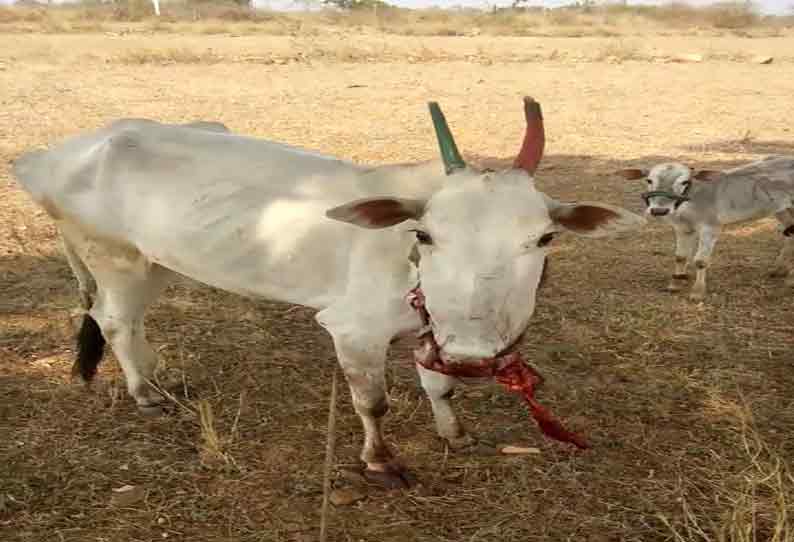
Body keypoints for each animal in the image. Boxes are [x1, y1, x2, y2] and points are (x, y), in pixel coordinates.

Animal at [12, 98, 644, 488]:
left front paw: (455, 434)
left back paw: (160, 376)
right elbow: (374, 403)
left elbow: (440, 387)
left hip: (154, 260)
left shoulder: (430, 333)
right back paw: (145, 393)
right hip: (112, 254)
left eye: (544, 237)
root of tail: (49, 155)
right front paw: (381, 462)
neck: (408, 265)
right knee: (113, 319)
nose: (474, 353)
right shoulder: (354, 332)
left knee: (128, 318)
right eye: (424, 235)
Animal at [620, 157, 792, 302]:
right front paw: (674, 284)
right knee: (790, 232)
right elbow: (680, 257)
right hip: (781, 210)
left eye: (684, 182)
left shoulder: (710, 227)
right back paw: (777, 269)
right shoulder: (681, 228)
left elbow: (701, 261)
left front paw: (697, 292)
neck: (689, 204)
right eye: (649, 180)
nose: (659, 210)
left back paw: (789, 279)